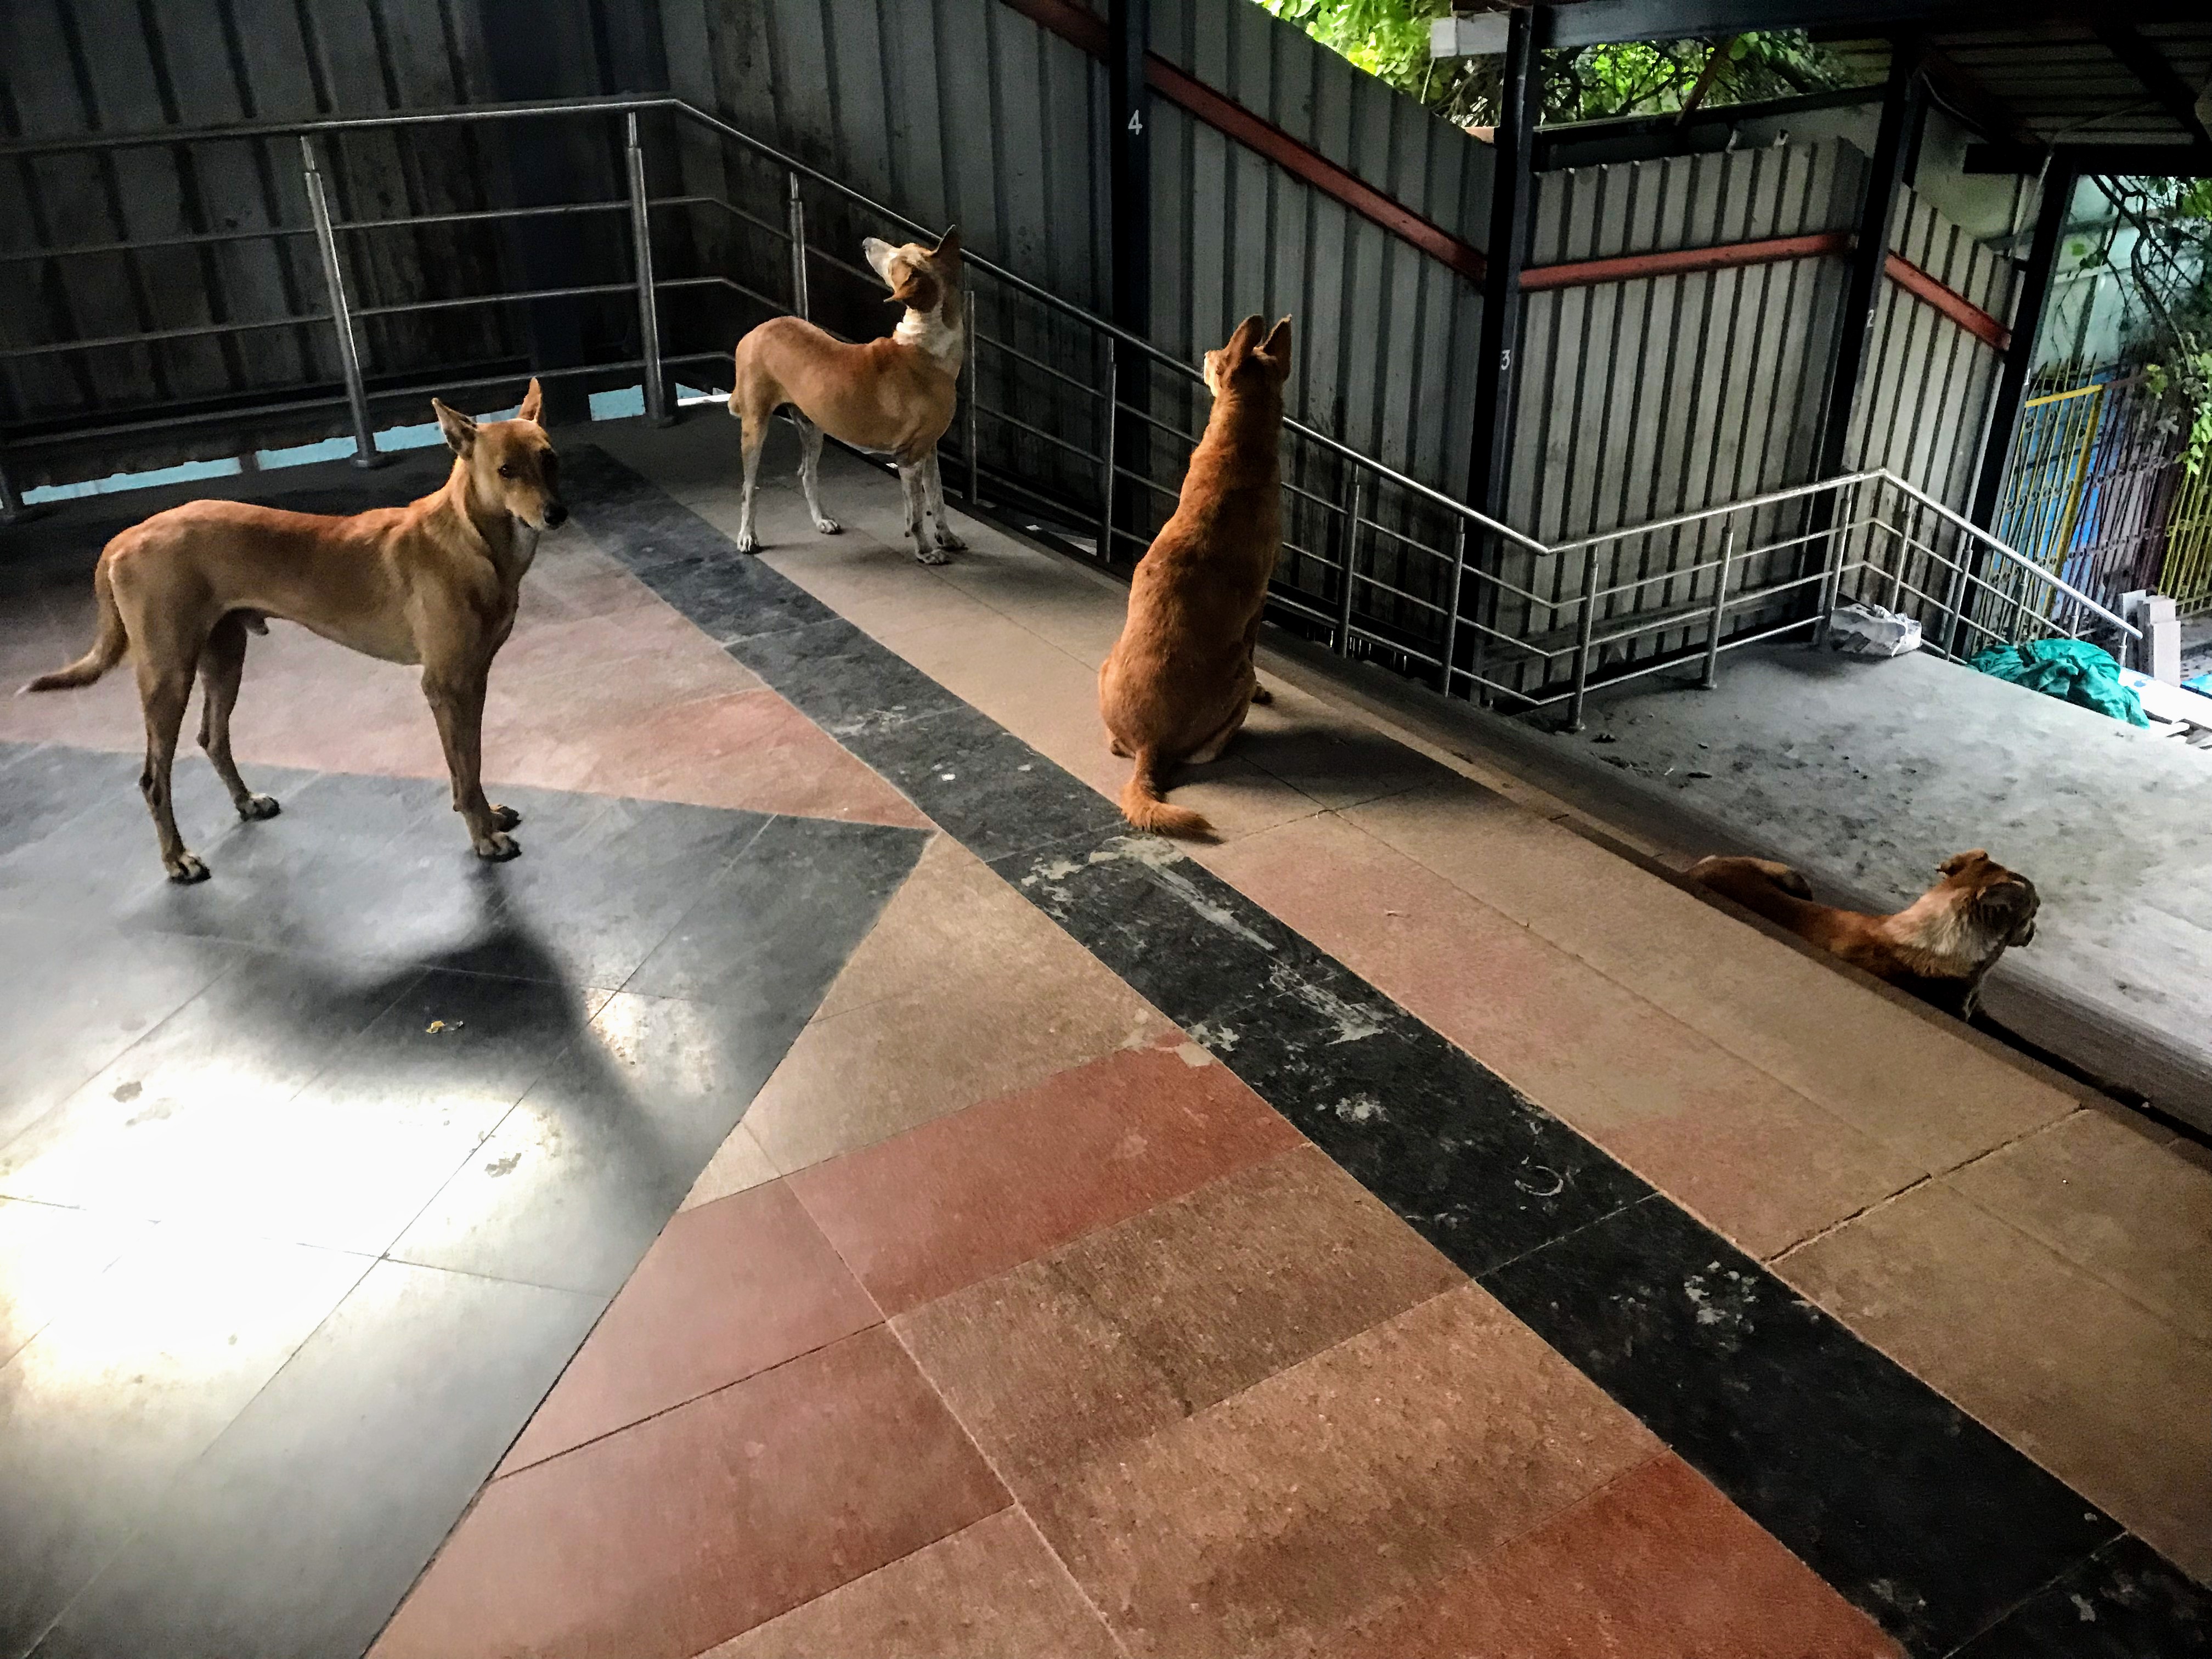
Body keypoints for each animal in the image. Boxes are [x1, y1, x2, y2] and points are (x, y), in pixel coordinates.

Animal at [21, 385, 566, 889]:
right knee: (155, 779)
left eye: (549, 459)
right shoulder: (446, 686)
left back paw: (246, 802)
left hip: (225, 656)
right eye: (506, 471)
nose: (556, 514)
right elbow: (465, 771)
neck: (471, 539)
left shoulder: (473, 680)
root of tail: (126, 536)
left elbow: (469, 763)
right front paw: (485, 838)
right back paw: (177, 859)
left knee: (212, 737)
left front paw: (486, 817)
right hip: (167, 675)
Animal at [730, 228, 964, 566]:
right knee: (749, 488)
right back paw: (747, 536)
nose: (865, 241)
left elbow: (938, 498)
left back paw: (822, 521)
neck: (923, 342)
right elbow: (917, 513)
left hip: (812, 426)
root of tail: (756, 331)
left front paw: (947, 537)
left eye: (896, 257)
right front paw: (925, 550)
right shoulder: (909, 457)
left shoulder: (928, 448)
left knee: (807, 474)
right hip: (755, 426)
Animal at [1092, 314, 1291, 836]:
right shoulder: (1259, 604)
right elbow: (1257, 642)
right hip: (1238, 676)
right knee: (1210, 748)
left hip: (1105, 665)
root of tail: (1150, 746)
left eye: (1218, 355)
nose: (1204, 351)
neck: (1241, 444)